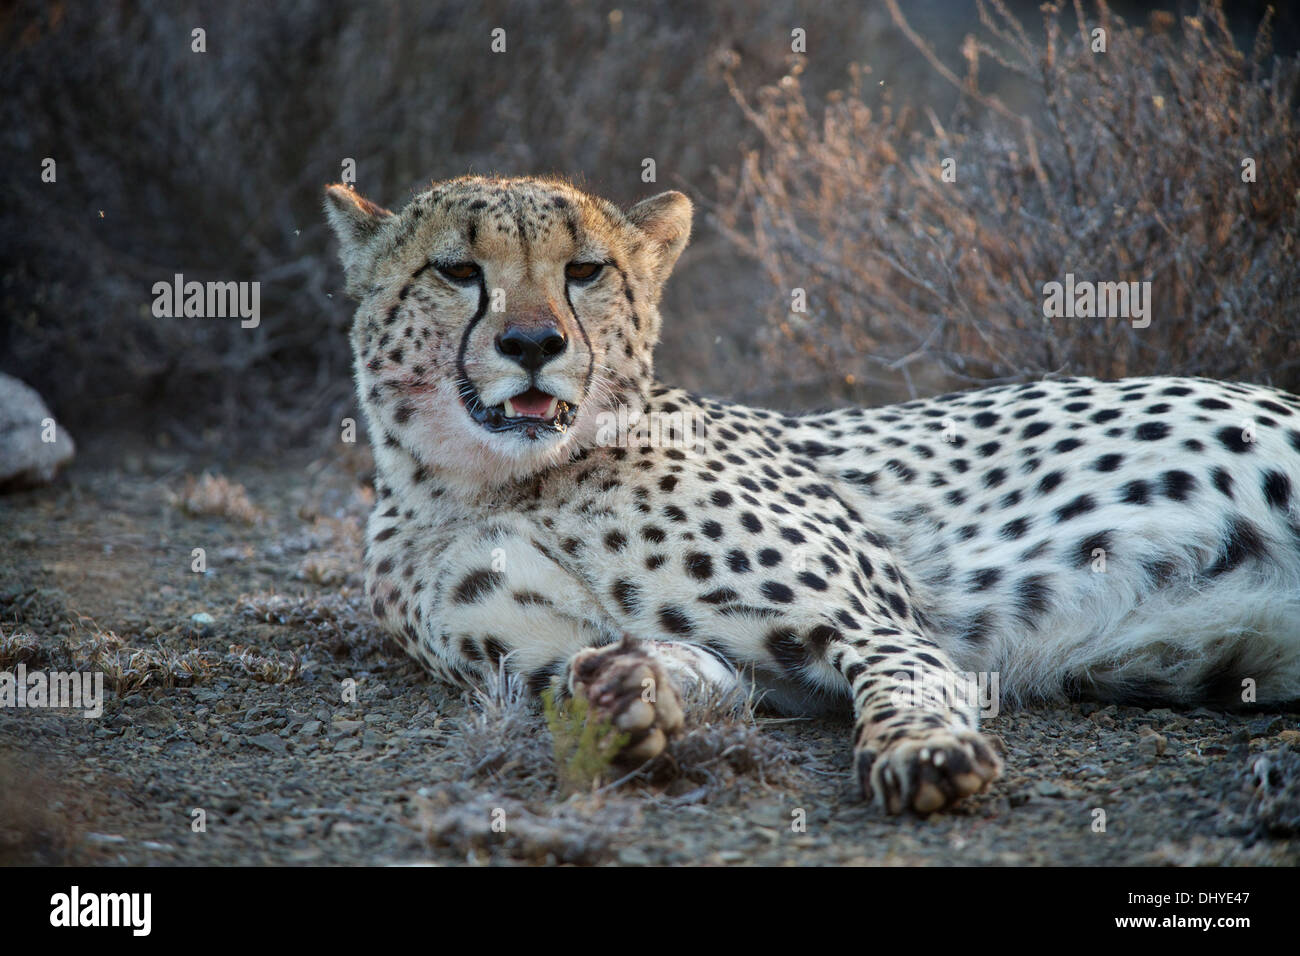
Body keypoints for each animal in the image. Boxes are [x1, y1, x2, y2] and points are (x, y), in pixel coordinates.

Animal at [322, 174, 1300, 816]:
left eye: (586, 271)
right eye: (457, 271)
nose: (532, 343)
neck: (504, 481)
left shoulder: (878, 621)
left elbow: (904, 680)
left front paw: (925, 753)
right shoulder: (655, 662)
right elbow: (647, 669)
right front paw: (619, 698)